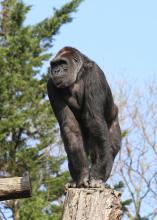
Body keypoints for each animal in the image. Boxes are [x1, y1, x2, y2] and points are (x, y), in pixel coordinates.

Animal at [47, 46, 121, 187]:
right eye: (54, 64)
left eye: (62, 63)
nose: (56, 71)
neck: (78, 75)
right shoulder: (51, 85)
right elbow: (70, 127)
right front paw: (82, 175)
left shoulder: (94, 74)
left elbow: (95, 121)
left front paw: (96, 175)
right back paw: (74, 179)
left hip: (114, 121)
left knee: (109, 146)